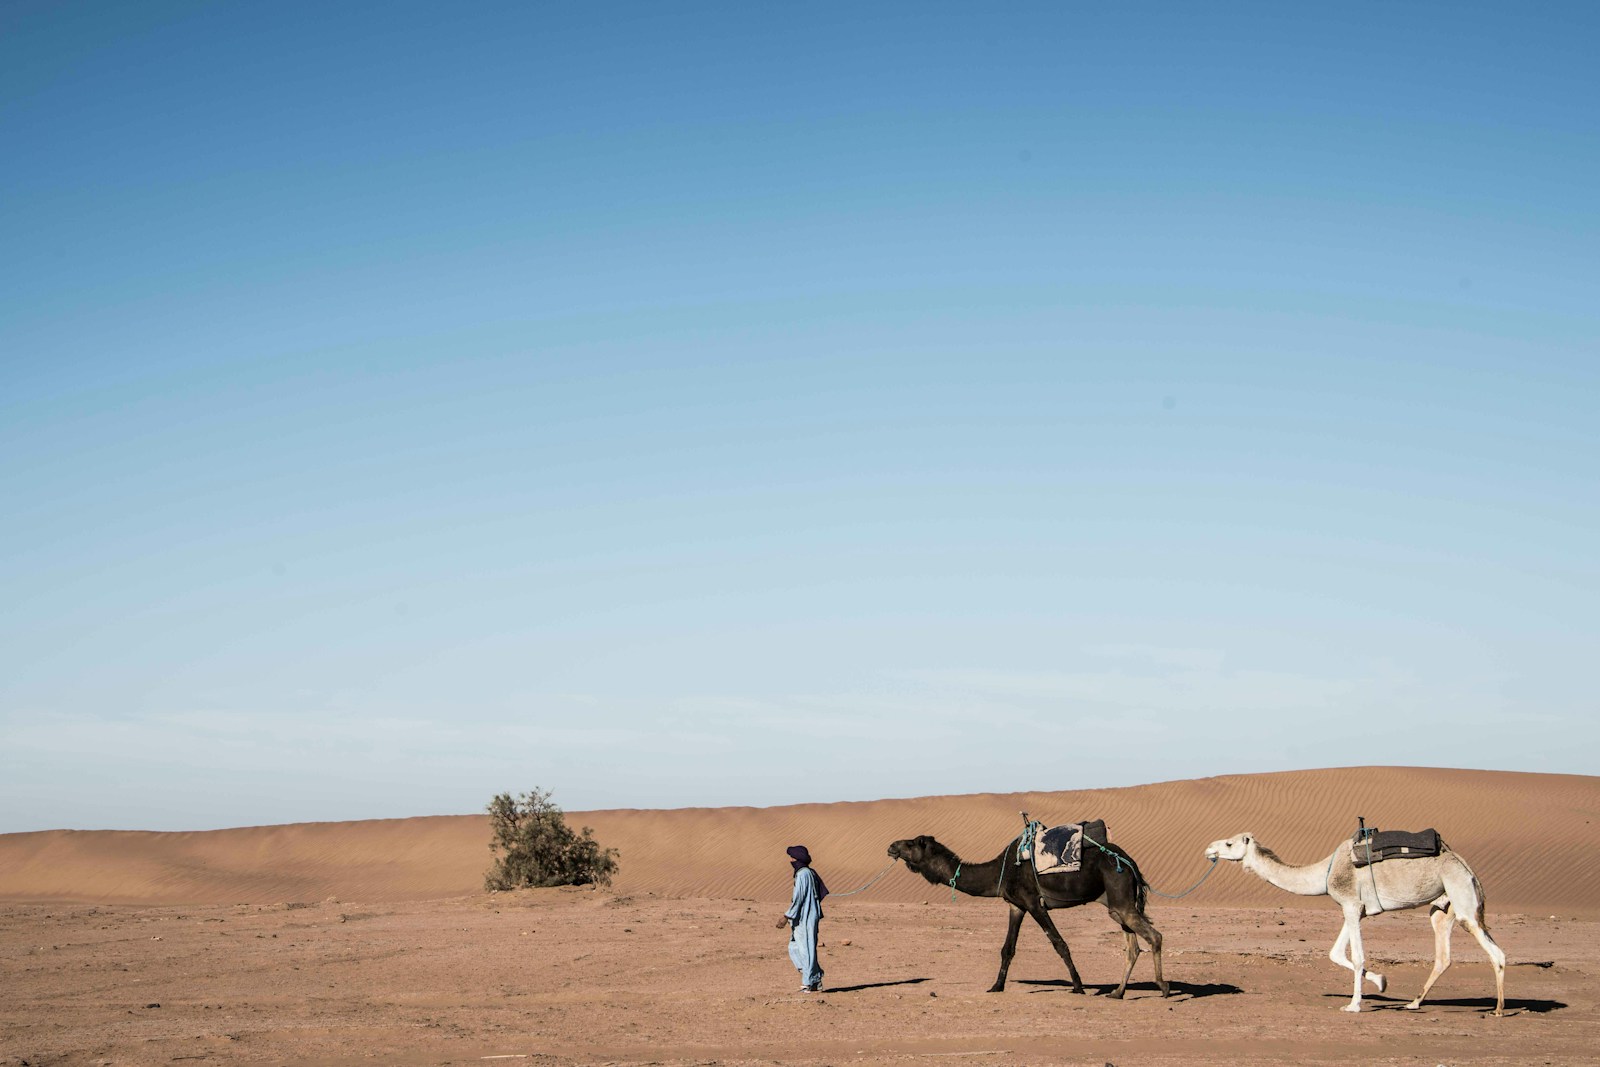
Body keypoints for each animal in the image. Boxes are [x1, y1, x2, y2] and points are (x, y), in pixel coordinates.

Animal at [888, 830, 1167, 998]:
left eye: (911, 843)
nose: (891, 846)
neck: (999, 872)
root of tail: (1130, 862)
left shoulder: (1034, 903)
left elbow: (1059, 944)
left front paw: (1077, 986)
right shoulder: (1016, 905)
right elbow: (1007, 948)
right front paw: (996, 986)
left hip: (1119, 893)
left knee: (1154, 936)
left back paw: (1163, 988)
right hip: (1115, 902)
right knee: (1132, 944)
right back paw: (1118, 992)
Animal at [1204, 831, 1506, 1015]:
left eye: (1229, 844)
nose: (1209, 849)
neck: (1325, 872)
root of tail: (1468, 868)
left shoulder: (1350, 904)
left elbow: (1358, 956)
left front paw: (1354, 1005)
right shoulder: (1355, 910)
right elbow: (1336, 953)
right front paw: (1381, 982)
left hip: (1462, 899)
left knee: (1497, 953)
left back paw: (1499, 1009)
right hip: (1443, 907)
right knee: (1444, 956)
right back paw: (1413, 1003)